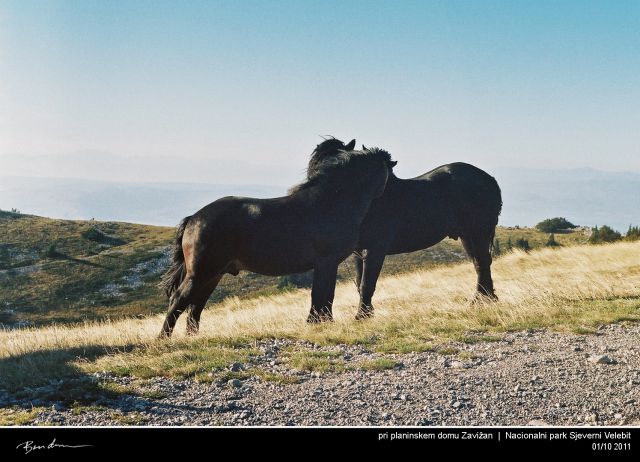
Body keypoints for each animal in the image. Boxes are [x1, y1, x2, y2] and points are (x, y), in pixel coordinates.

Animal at [159, 144, 396, 336]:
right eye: (389, 173)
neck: (331, 202)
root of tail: (194, 218)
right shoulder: (326, 261)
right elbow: (323, 293)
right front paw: (320, 322)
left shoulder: (326, 264)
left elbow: (323, 294)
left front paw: (319, 321)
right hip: (201, 273)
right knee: (178, 300)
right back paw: (163, 339)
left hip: (213, 275)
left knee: (195, 307)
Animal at [308, 136, 502, 318]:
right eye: (314, 165)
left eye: (338, 167)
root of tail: (489, 179)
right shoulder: (358, 253)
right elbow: (359, 282)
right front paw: (367, 314)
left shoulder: (375, 250)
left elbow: (366, 284)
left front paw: (361, 316)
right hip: (467, 235)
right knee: (479, 264)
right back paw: (483, 300)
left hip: (479, 232)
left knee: (482, 263)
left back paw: (484, 301)